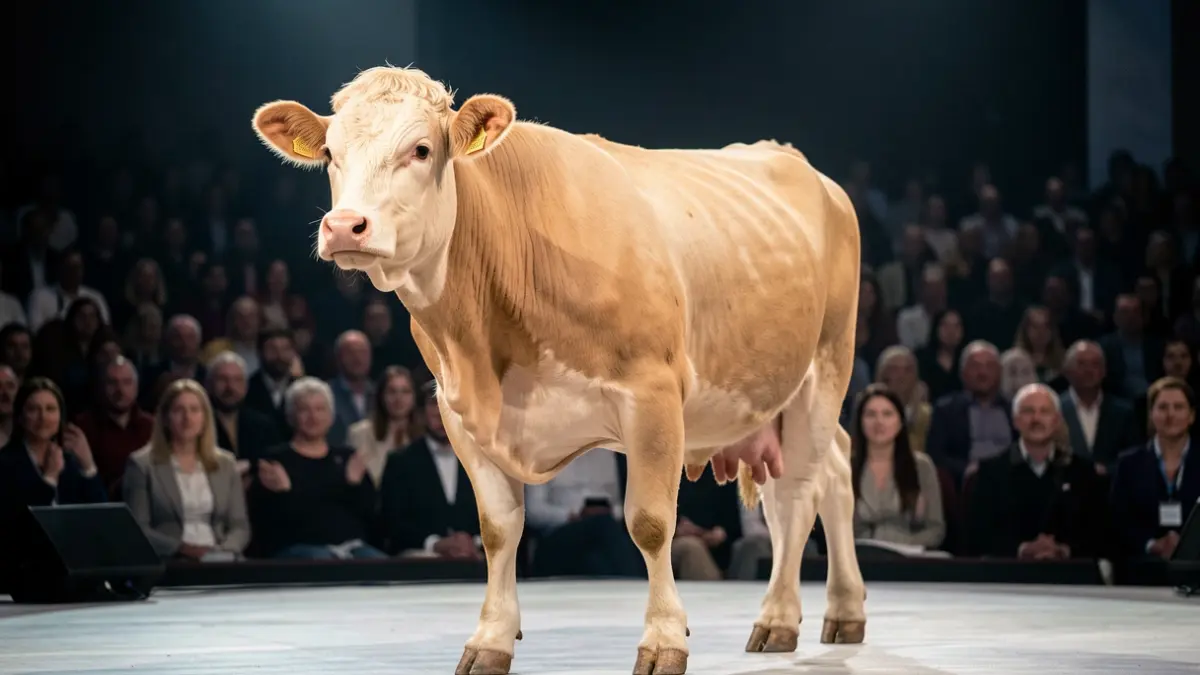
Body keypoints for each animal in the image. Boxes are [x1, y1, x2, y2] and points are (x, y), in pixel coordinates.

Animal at [251, 66, 866, 675]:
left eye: (421, 149)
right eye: (330, 154)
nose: (344, 226)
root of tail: (793, 159)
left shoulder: (653, 394)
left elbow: (649, 523)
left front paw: (664, 639)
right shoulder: (458, 412)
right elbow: (499, 529)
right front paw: (491, 639)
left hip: (826, 366)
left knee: (802, 492)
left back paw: (782, 617)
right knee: (826, 474)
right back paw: (839, 610)